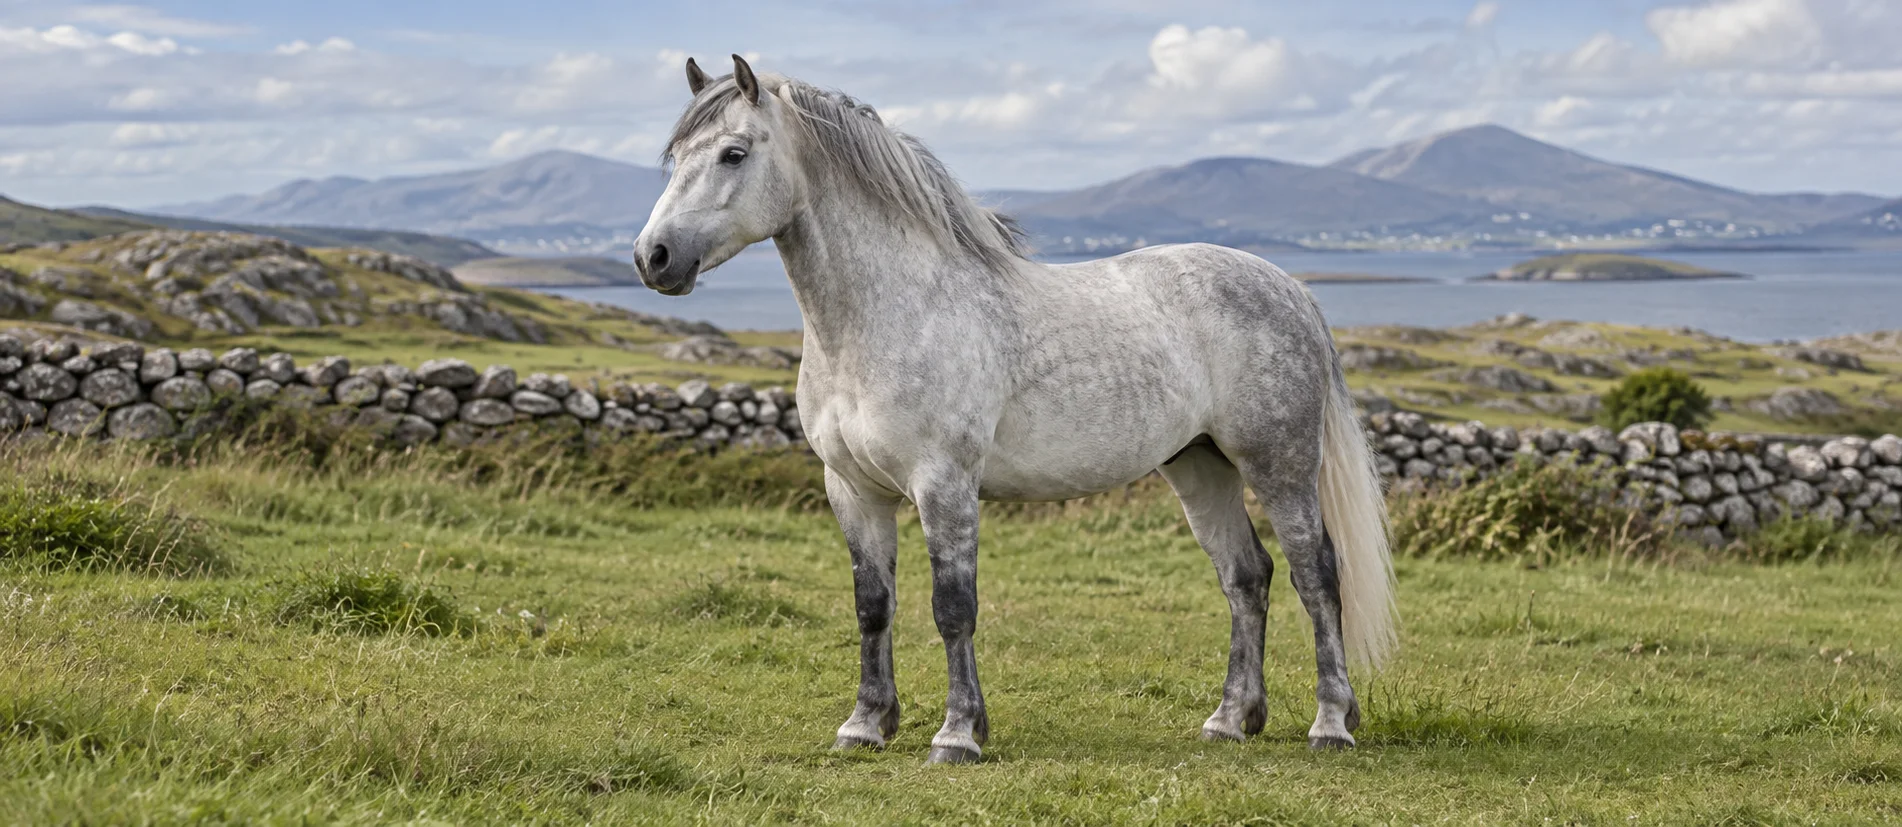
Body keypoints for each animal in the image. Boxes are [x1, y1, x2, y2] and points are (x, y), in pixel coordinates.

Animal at [634, 55, 1396, 764]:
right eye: (676, 157)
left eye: (735, 153)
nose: (653, 257)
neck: (889, 315)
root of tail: (1291, 287)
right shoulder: (852, 489)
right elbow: (872, 606)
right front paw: (865, 725)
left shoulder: (944, 483)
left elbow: (952, 606)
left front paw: (957, 735)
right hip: (1199, 466)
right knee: (1246, 577)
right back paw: (1230, 719)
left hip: (1278, 464)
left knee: (1315, 575)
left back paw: (1330, 723)